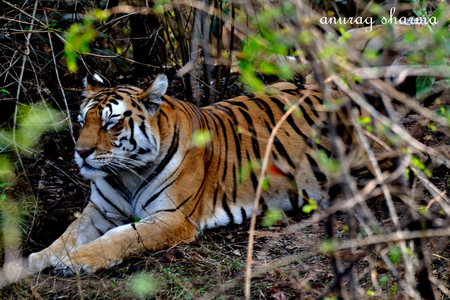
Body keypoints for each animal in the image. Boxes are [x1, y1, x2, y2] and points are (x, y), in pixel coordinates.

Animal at [27, 72, 338, 276]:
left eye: (111, 123)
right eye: (82, 122)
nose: (81, 152)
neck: (127, 174)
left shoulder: (173, 217)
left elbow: (121, 236)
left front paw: (74, 261)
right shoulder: (100, 210)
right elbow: (69, 233)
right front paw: (36, 259)